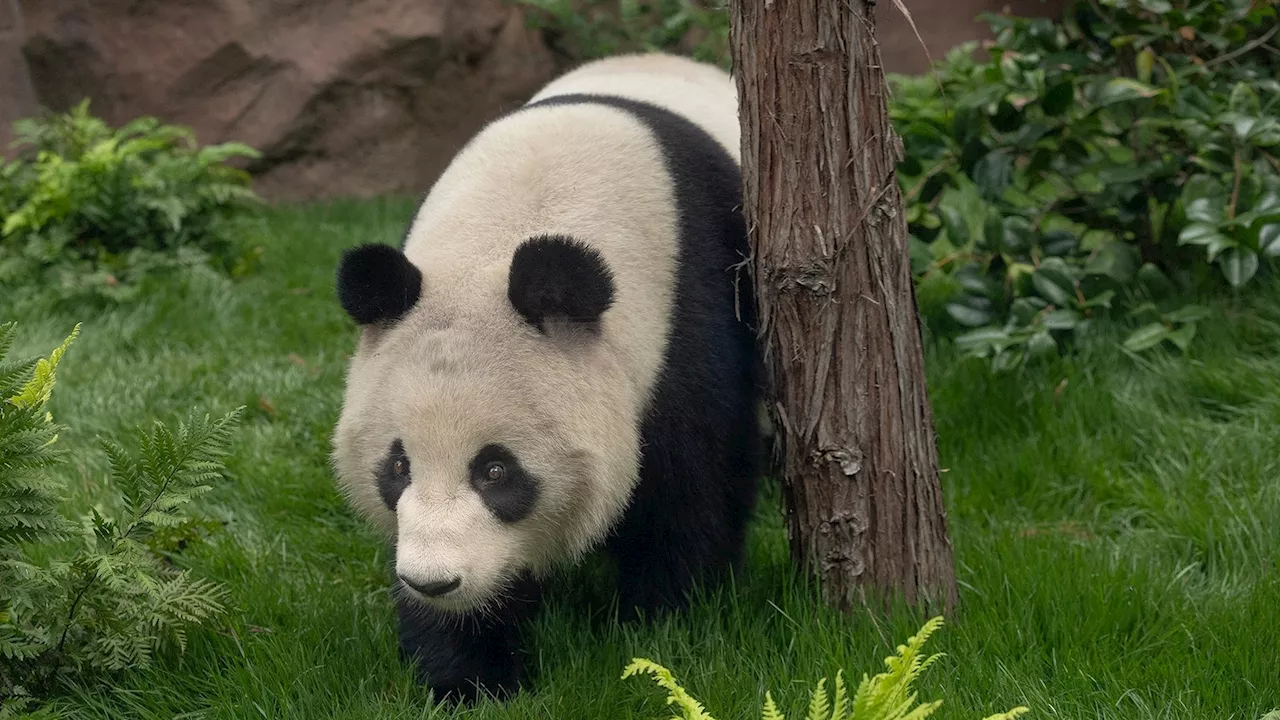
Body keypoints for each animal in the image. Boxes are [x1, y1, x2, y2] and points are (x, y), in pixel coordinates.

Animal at [335, 53, 762, 702]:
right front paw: (468, 674)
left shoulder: (691, 315)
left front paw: (659, 624)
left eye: (495, 470)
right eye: (399, 465)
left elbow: (694, 489)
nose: (434, 581)